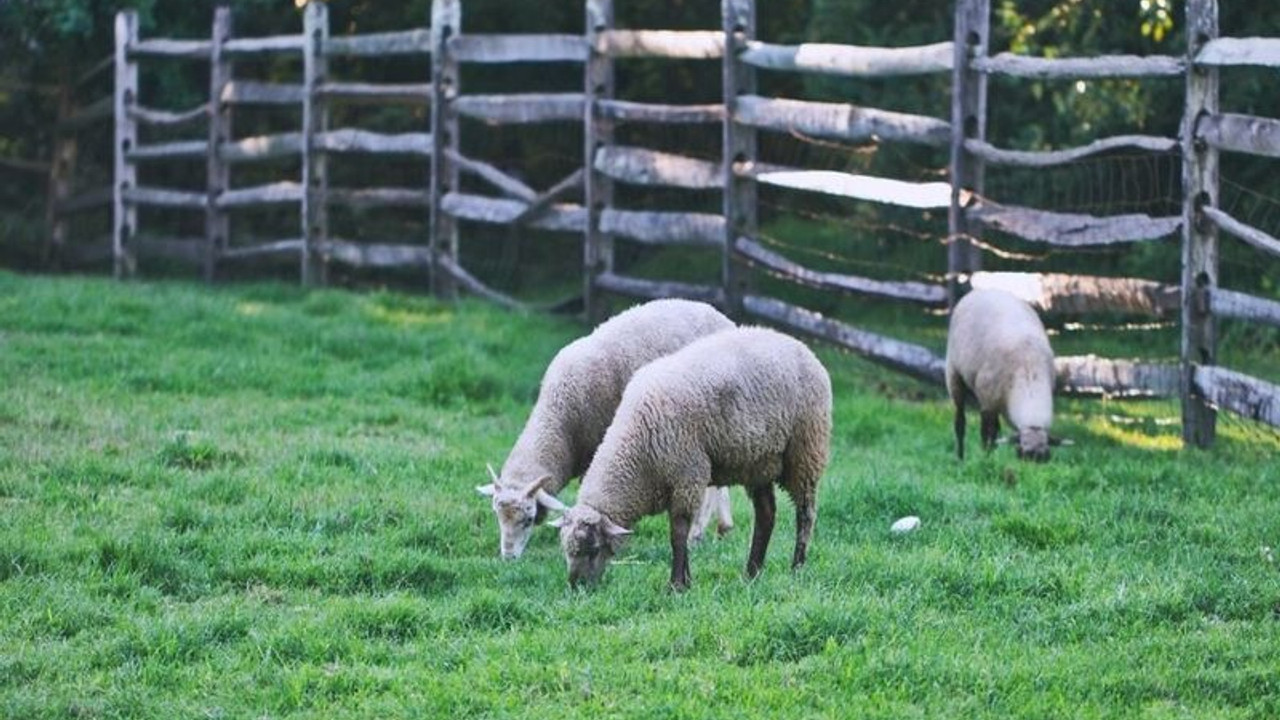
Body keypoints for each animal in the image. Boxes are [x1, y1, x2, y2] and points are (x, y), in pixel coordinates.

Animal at [473, 297, 737, 556]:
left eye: (528, 519)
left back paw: (698, 533)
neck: (562, 422)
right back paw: (723, 527)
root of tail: (722, 317)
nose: (508, 558)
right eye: (497, 516)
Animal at [547, 325, 829, 589]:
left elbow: (678, 533)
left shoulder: (687, 475)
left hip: (806, 449)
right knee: (766, 514)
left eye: (593, 549)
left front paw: (676, 585)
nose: (576, 586)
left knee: (806, 513)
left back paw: (797, 568)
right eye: (565, 549)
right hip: (758, 461)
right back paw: (752, 572)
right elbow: (679, 532)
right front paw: (686, 579)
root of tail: (797, 344)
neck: (637, 448)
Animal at [947, 285, 1054, 458]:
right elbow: (985, 432)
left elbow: (994, 432)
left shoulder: (994, 400)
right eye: (1022, 455)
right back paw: (960, 457)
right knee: (960, 421)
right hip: (954, 374)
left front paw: (991, 454)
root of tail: (981, 290)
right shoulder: (986, 401)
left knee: (995, 427)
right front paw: (985, 456)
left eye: (1045, 459)